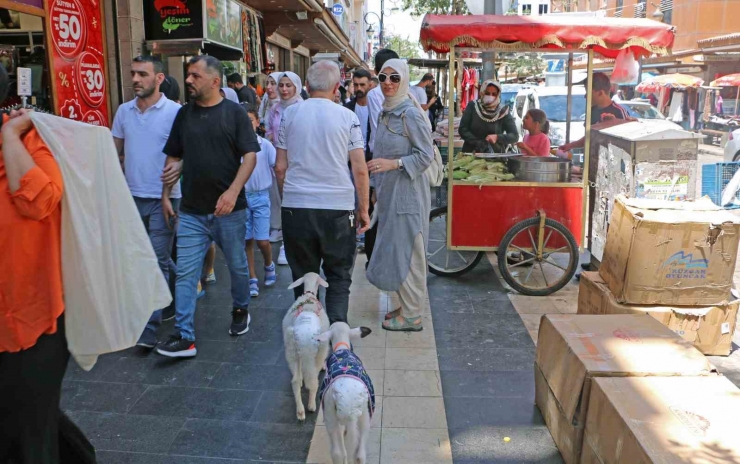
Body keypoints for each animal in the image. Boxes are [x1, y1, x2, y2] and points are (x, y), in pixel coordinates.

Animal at [284, 272, 330, 420]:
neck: (309, 295)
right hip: (314, 353)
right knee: (313, 380)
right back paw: (311, 405)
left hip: (292, 350)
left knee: (295, 381)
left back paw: (300, 411)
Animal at [316, 322, 376, 464]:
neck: (342, 346)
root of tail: (349, 401)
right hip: (365, 415)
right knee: (358, 454)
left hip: (330, 415)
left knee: (339, 453)